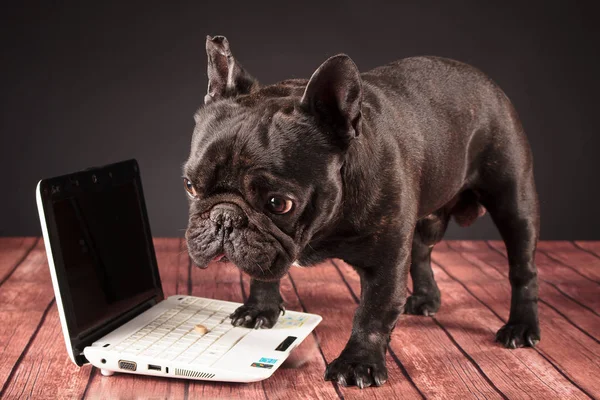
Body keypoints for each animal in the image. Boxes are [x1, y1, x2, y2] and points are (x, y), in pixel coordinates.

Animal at [183, 36, 540, 390]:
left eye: (278, 204)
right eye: (190, 186)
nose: (225, 217)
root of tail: (486, 81)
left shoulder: (385, 261)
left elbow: (373, 312)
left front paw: (358, 363)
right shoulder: (271, 251)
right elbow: (262, 272)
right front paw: (260, 309)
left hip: (513, 204)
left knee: (523, 269)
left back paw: (521, 327)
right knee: (421, 252)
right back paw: (425, 299)